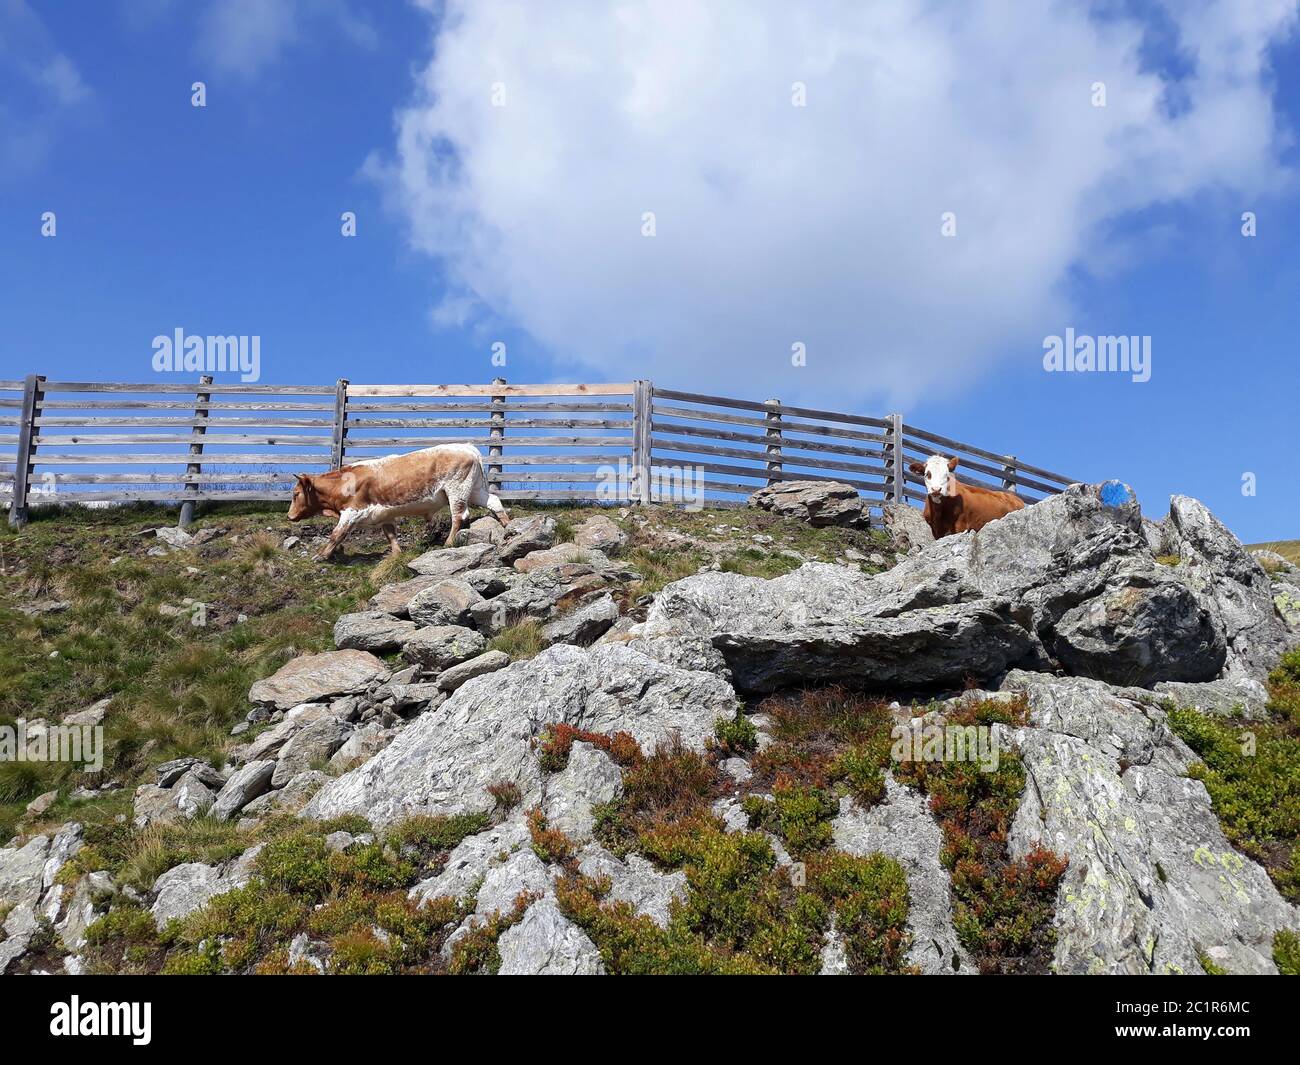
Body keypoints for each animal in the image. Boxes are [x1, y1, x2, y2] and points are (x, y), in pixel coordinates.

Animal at [288, 442, 506, 561]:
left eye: (296, 493)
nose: (290, 516)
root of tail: (466, 447)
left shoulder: (353, 511)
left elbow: (336, 535)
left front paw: (322, 555)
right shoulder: (384, 514)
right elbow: (390, 535)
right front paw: (395, 555)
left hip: (457, 490)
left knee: (459, 516)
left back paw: (449, 542)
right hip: (475, 490)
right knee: (494, 501)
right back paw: (507, 526)